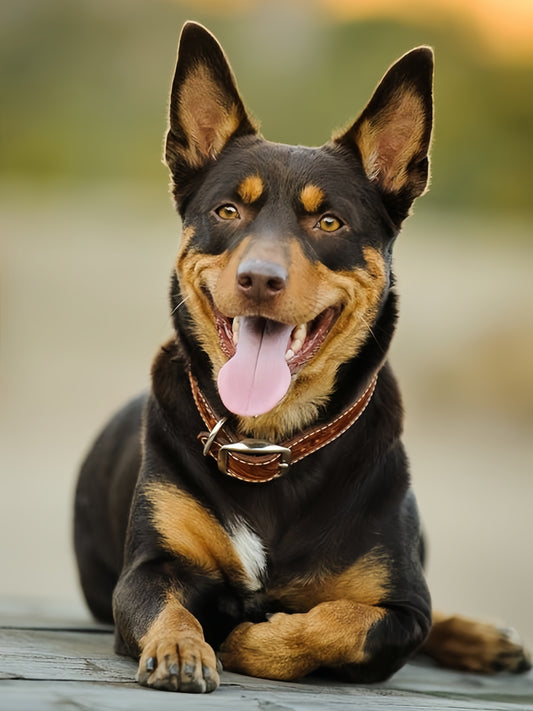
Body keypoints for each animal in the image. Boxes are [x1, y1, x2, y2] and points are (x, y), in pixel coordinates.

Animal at [74, 23, 528, 696]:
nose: (260, 278)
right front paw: (184, 646)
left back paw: (482, 637)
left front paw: (247, 638)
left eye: (329, 221)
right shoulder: (148, 570)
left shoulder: (403, 610)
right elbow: (171, 607)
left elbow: (339, 621)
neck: (269, 443)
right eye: (227, 211)